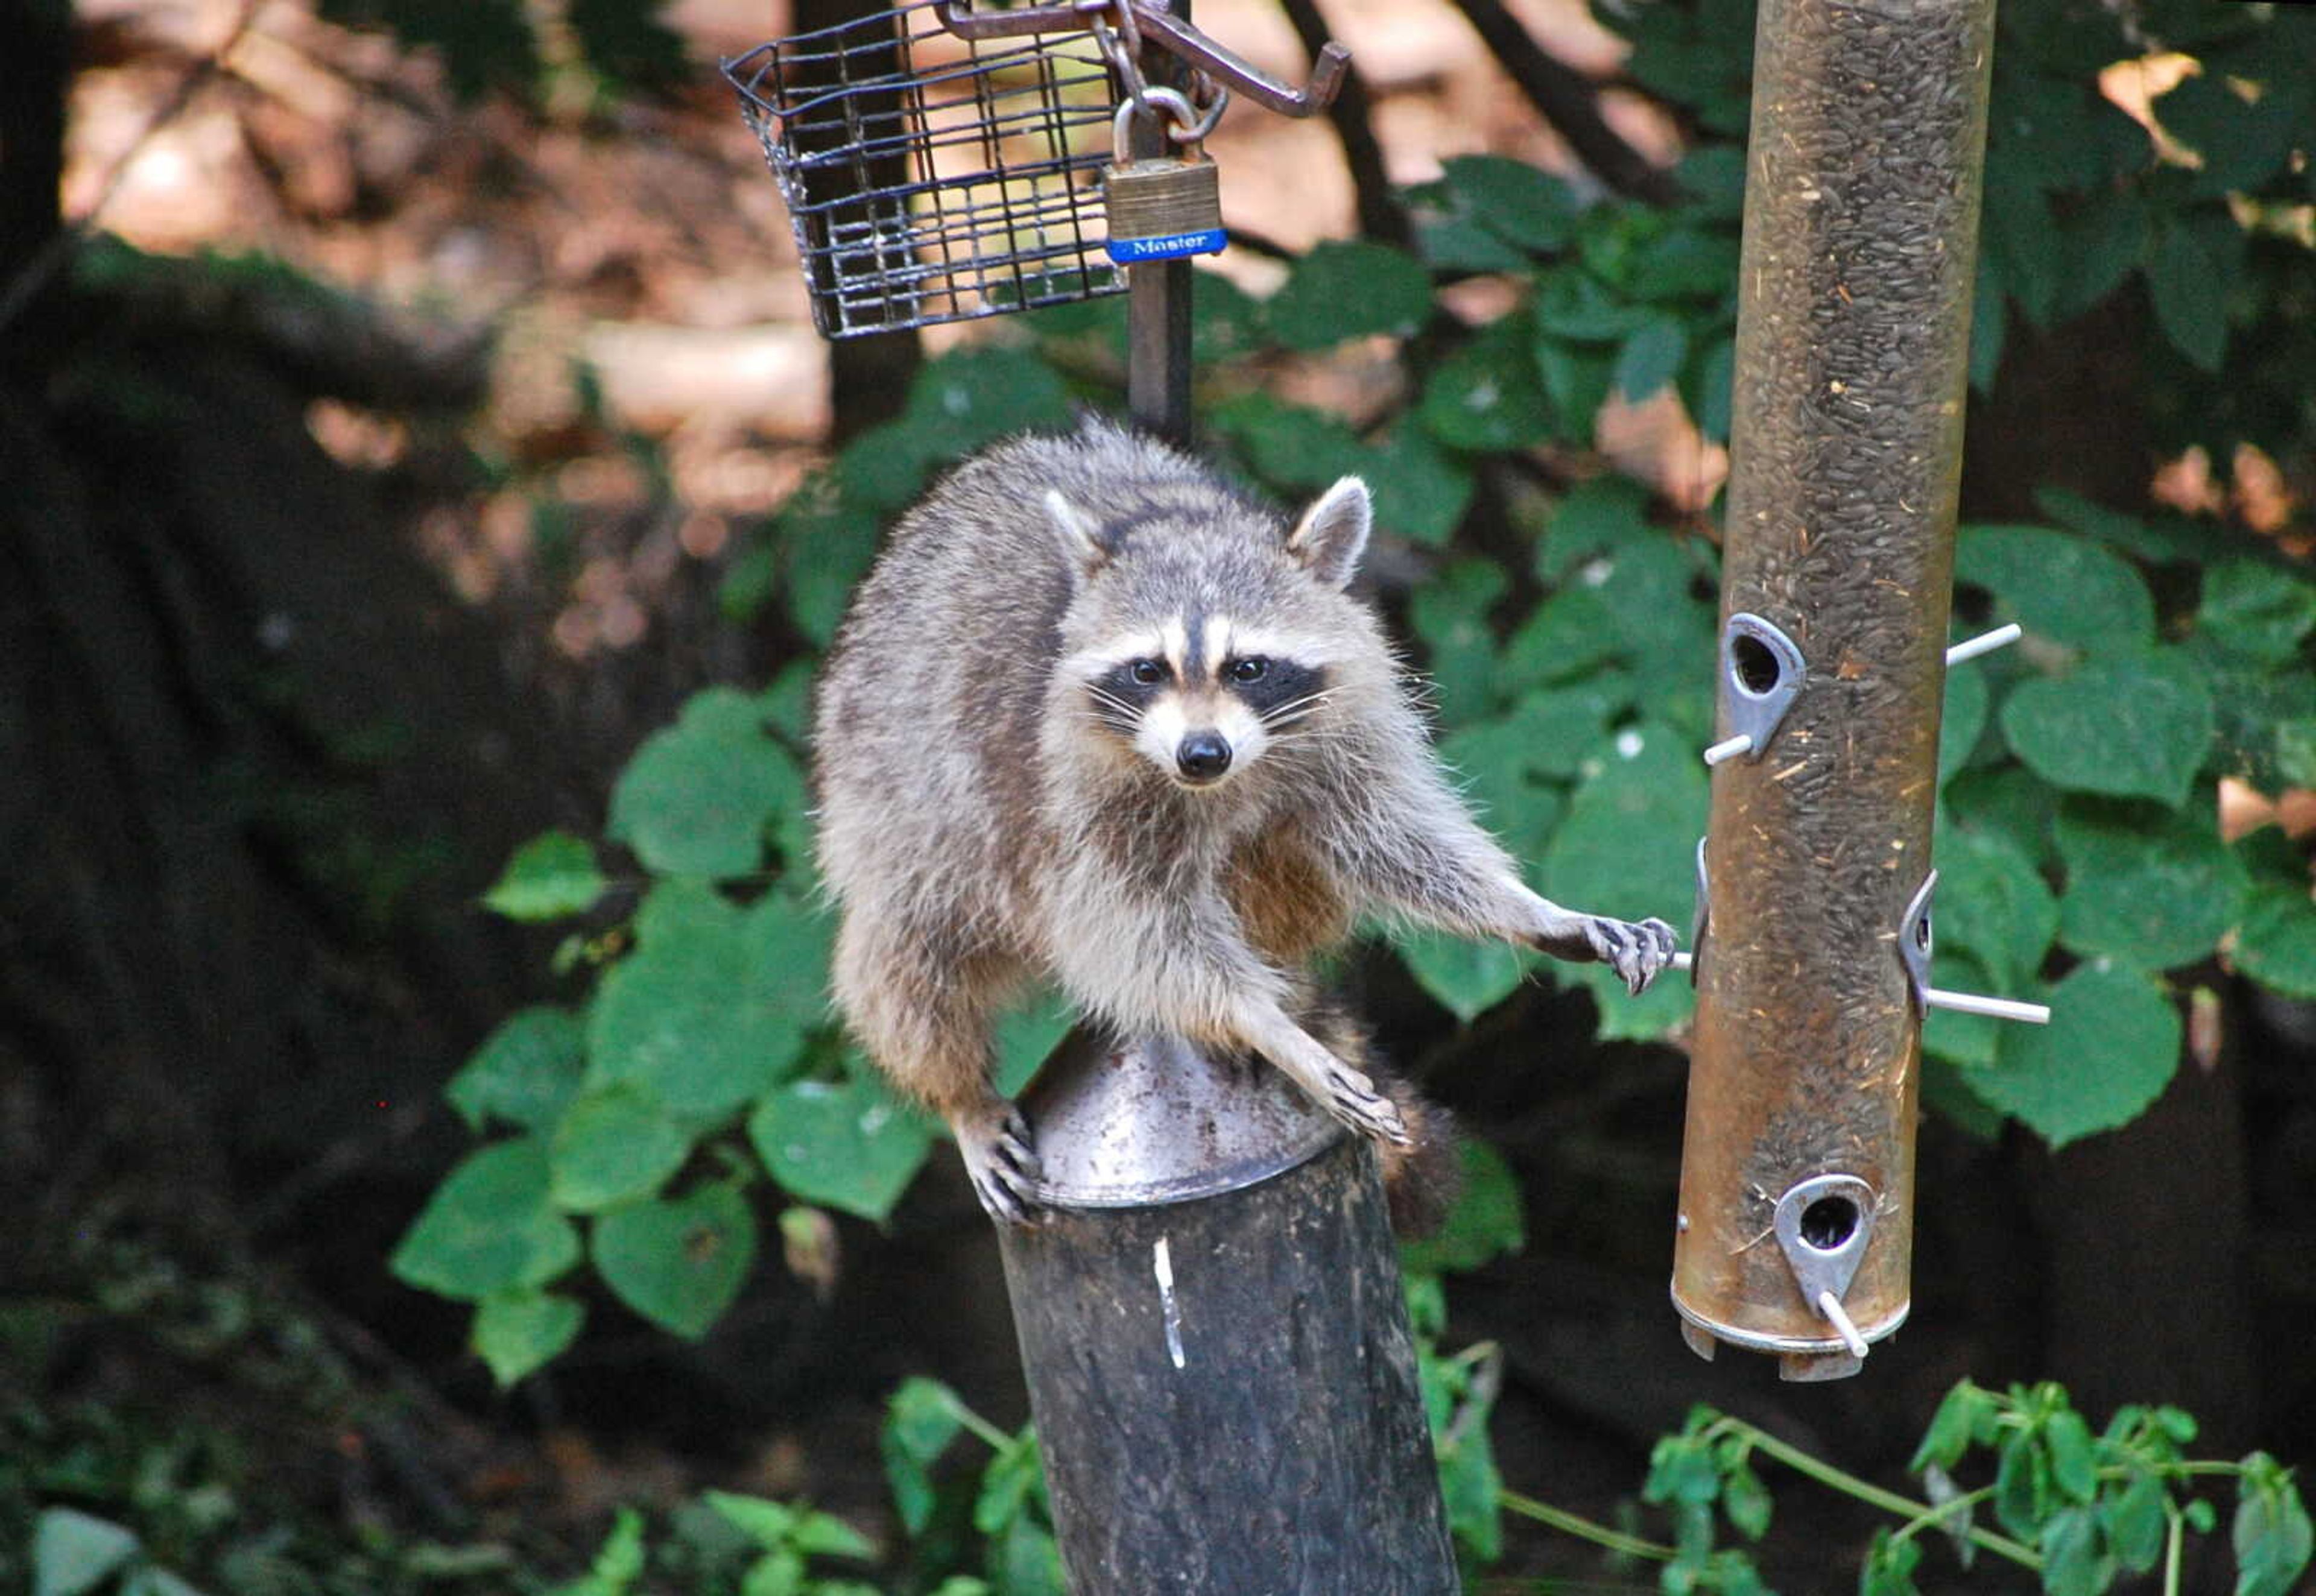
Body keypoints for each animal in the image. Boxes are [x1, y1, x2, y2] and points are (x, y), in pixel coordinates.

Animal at [811, 424, 1667, 1223]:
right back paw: (959, 1089)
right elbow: (1138, 924)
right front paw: (1259, 1019)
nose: (1201, 753)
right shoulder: (1074, 786)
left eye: (1248, 667)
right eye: (1147, 670)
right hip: (902, 807)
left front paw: (1526, 909)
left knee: (1275, 851)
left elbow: (1393, 842)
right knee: (911, 955)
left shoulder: (1347, 727)